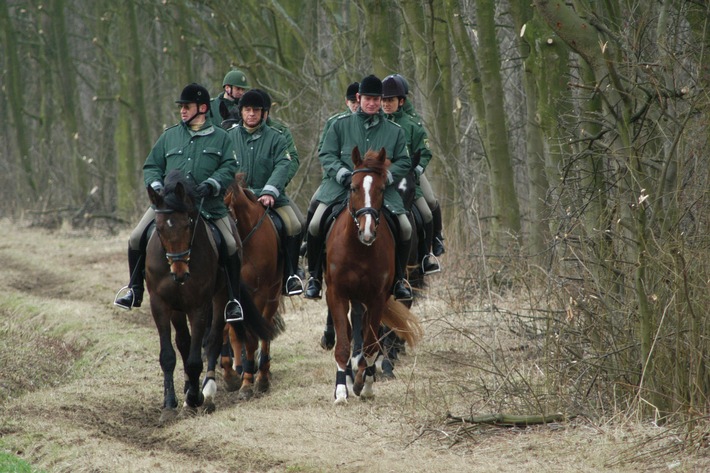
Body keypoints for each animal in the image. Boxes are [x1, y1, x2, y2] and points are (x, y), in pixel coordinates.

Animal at [146, 169, 276, 420]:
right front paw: (170, 404)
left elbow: (200, 355)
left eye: (188, 223)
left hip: (229, 296)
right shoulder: (161, 304)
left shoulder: (200, 305)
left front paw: (196, 398)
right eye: (159, 227)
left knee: (217, 338)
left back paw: (211, 391)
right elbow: (168, 355)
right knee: (186, 342)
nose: (180, 272)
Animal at [224, 173, 288, 398]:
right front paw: (236, 377)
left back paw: (262, 377)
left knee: (265, 333)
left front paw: (248, 383)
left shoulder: (258, 295)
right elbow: (234, 333)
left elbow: (253, 337)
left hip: (272, 296)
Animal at [326, 147, 422, 402]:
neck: (359, 249)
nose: (367, 231)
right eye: (353, 187)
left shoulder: (378, 298)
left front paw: (366, 384)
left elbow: (372, 344)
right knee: (350, 334)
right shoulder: (337, 294)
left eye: (381, 189)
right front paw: (341, 390)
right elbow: (343, 344)